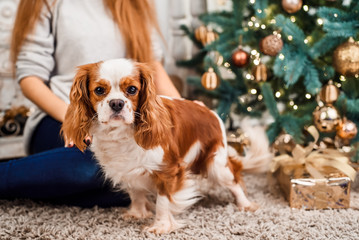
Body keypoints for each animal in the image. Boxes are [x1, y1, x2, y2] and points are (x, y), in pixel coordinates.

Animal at [62, 58, 270, 232]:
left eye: (132, 89)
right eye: (99, 90)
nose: (116, 103)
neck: (121, 134)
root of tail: (211, 113)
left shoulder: (167, 170)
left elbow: (163, 202)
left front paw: (160, 226)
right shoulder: (128, 169)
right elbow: (136, 193)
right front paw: (137, 213)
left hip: (216, 164)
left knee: (234, 181)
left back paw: (245, 205)